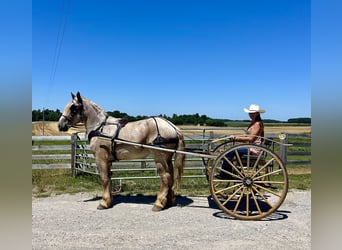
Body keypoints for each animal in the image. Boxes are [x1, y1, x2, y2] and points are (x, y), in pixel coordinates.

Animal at [59, 92, 187, 211]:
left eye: (73, 108)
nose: (60, 125)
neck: (101, 128)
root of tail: (173, 127)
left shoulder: (101, 158)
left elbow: (104, 179)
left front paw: (103, 203)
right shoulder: (108, 161)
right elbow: (109, 179)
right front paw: (109, 200)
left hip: (159, 158)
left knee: (165, 177)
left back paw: (159, 203)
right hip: (167, 158)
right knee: (170, 176)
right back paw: (168, 201)